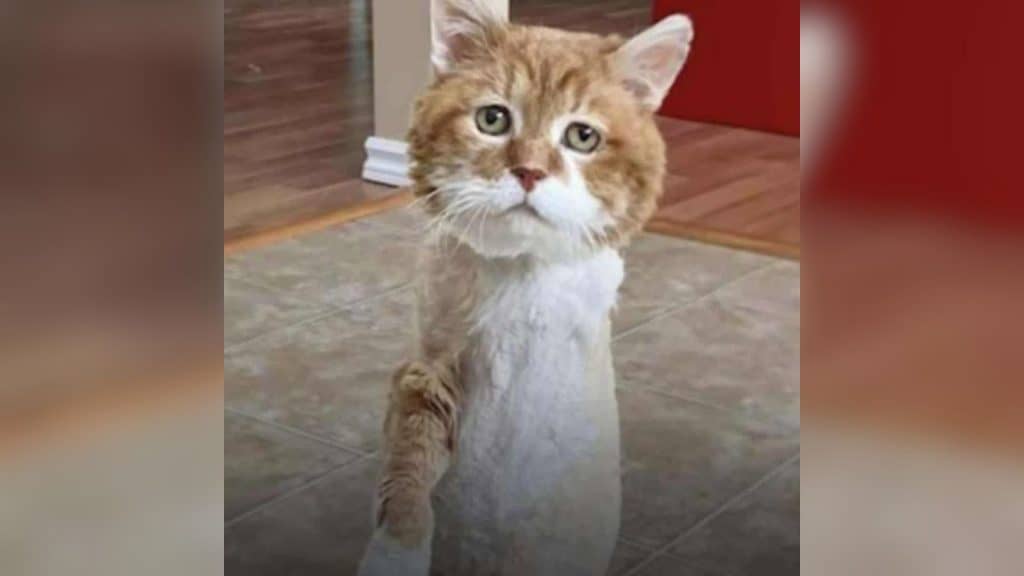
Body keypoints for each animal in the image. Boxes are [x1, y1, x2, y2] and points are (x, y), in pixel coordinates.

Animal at [358, 2, 692, 575]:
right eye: (492, 119)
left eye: (582, 137)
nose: (529, 171)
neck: (521, 270)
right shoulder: (427, 373)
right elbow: (408, 475)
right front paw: (394, 552)